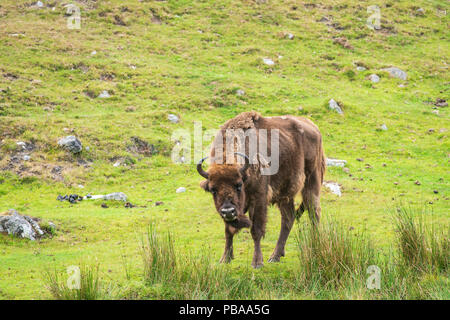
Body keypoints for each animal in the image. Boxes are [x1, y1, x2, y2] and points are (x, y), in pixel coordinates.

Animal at [196, 112, 324, 268]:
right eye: (213, 190)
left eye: (238, 185)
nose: (228, 211)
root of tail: (313, 127)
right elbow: (228, 231)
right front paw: (225, 259)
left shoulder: (258, 199)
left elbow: (256, 230)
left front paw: (257, 262)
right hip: (285, 194)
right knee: (288, 218)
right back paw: (275, 256)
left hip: (312, 182)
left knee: (314, 213)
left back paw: (315, 245)